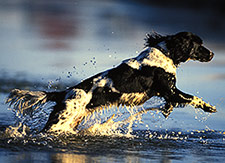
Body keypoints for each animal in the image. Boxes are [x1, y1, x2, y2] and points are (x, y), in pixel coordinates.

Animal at [6, 31, 216, 132]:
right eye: (199, 45)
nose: (213, 54)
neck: (165, 53)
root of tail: (64, 93)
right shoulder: (169, 90)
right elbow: (192, 98)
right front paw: (209, 107)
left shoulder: (166, 93)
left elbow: (174, 102)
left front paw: (168, 110)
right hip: (61, 121)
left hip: (73, 120)